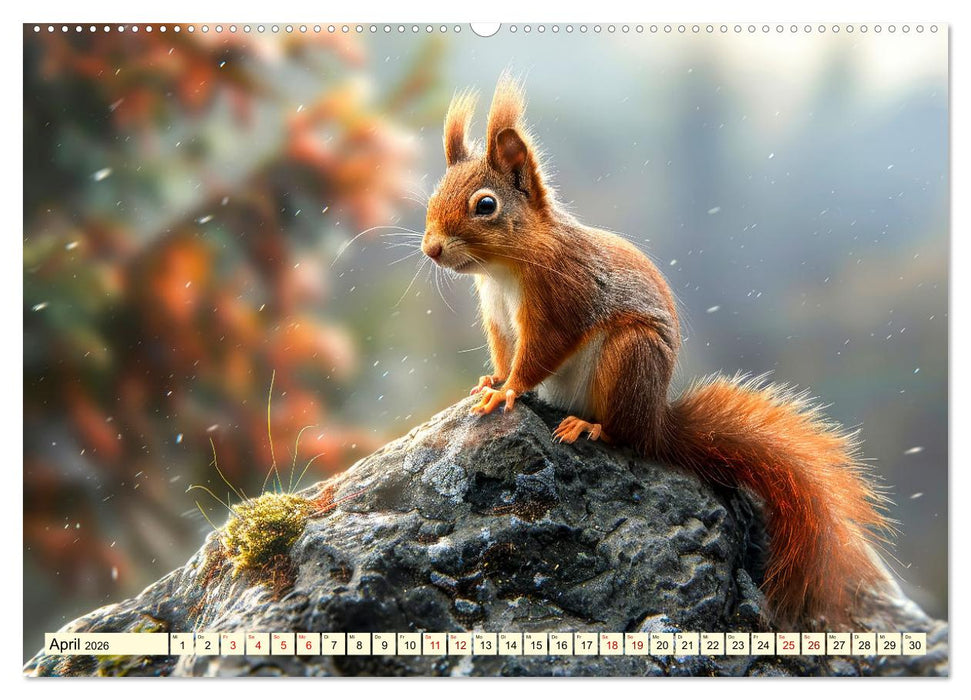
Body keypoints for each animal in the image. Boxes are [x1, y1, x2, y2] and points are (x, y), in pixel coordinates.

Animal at [420, 75, 894, 631]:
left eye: (486, 205)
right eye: (433, 194)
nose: (431, 249)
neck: (502, 270)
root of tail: (658, 421)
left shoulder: (561, 301)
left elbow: (539, 353)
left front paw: (508, 391)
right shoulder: (496, 317)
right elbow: (502, 352)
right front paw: (491, 381)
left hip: (629, 357)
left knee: (626, 436)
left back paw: (591, 428)